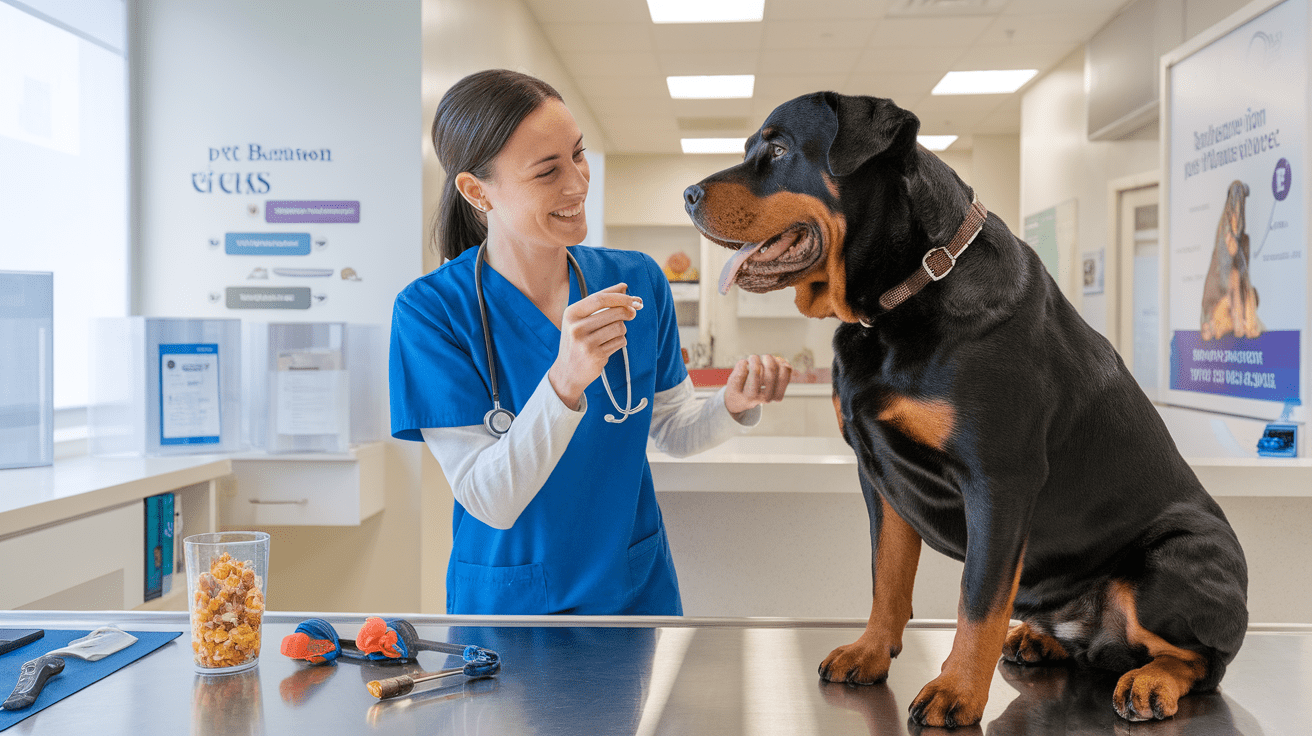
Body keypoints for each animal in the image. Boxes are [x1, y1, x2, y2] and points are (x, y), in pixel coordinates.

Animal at [682, 93, 1243, 729]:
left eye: (778, 150)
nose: (689, 195)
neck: (904, 291)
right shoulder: (879, 477)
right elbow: (887, 576)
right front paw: (870, 651)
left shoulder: (997, 480)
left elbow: (977, 599)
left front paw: (957, 690)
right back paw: (1040, 639)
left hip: (1175, 556)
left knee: (1203, 659)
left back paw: (1152, 682)